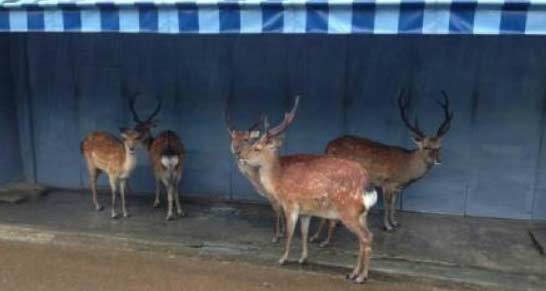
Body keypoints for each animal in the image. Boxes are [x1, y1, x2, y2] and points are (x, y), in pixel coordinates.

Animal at [238, 97, 378, 284]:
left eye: (257, 148)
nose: (241, 156)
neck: (278, 179)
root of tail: (367, 185)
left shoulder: (291, 203)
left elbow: (290, 233)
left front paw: (283, 259)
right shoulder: (306, 211)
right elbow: (304, 233)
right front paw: (303, 258)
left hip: (348, 211)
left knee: (366, 237)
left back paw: (361, 277)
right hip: (362, 214)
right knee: (363, 240)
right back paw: (353, 273)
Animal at [308, 91, 452, 249]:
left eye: (439, 147)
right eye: (426, 147)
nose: (438, 160)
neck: (407, 168)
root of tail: (328, 146)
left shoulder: (397, 187)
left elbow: (394, 203)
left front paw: (395, 223)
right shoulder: (387, 183)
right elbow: (388, 205)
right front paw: (388, 226)